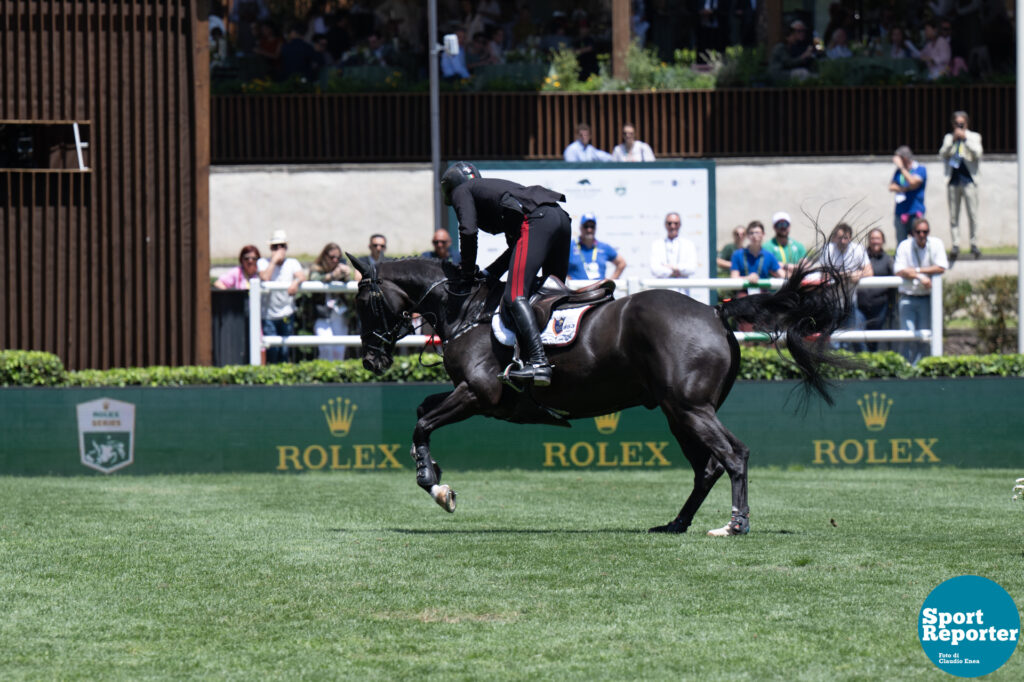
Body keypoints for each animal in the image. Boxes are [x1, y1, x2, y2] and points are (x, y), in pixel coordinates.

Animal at [348, 251, 851, 532]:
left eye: (362, 300)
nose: (371, 360)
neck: (468, 310)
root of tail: (713, 311)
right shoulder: (480, 399)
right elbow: (422, 410)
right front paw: (433, 473)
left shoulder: (479, 394)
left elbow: (421, 422)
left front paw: (434, 484)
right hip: (678, 413)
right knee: (707, 468)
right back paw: (677, 524)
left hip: (690, 408)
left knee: (733, 455)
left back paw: (734, 525)